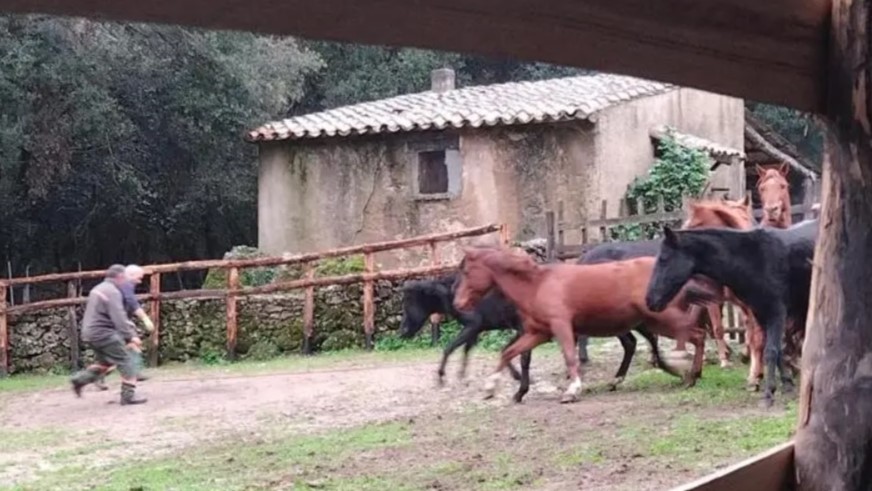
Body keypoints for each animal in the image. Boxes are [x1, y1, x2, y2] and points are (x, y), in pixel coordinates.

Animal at [399, 274, 662, 398]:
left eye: (410, 300)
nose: (402, 331)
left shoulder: (480, 325)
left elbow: (452, 347)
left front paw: (442, 377)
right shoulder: (482, 328)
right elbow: (472, 349)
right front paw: (463, 375)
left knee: (639, 338)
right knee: (634, 340)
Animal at [453, 246, 707, 404]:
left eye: (466, 271)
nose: (458, 303)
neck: (537, 284)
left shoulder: (562, 326)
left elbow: (569, 356)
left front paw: (572, 391)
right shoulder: (538, 333)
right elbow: (509, 353)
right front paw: (491, 388)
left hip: (663, 319)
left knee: (697, 335)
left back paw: (690, 376)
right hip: (650, 322)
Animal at [644, 219, 818, 407]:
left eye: (664, 259)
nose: (650, 300)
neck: (752, 260)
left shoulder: (777, 311)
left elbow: (771, 351)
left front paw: (768, 395)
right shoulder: (761, 313)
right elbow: (777, 349)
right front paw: (786, 385)